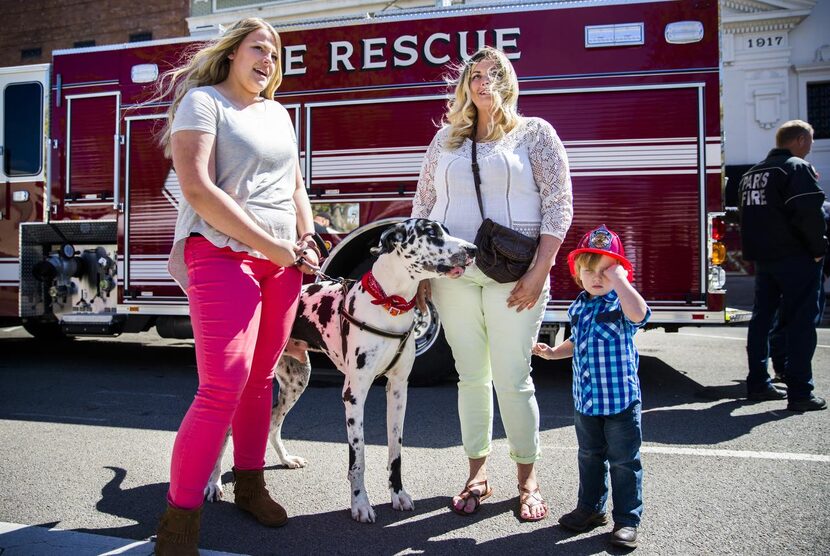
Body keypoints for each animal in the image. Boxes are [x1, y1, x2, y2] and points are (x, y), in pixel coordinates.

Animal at [207, 219, 478, 524]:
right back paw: (213, 482)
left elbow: (395, 452)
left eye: (446, 230)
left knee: (273, 420)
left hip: (296, 380)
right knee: (226, 431)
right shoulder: (354, 395)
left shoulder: (398, 391)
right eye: (431, 233)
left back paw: (285, 459)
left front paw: (398, 494)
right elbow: (358, 458)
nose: (473, 250)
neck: (389, 302)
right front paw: (360, 504)